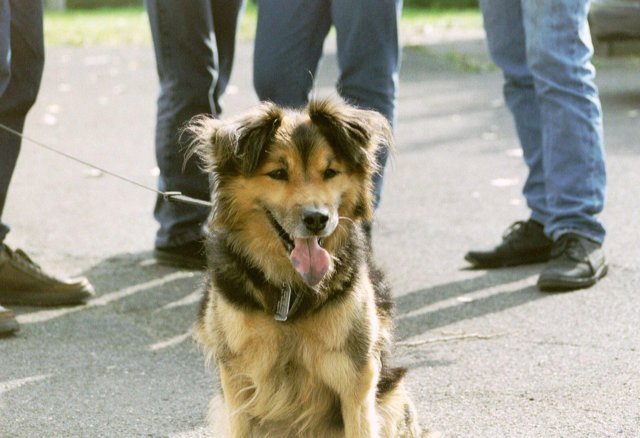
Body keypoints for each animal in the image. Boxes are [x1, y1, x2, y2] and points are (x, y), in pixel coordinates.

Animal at [190, 98, 424, 437]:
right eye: (277, 173)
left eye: (330, 172)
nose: (317, 219)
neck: (290, 291)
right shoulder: (238, 379)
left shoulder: (356, 376)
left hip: (392, 397)